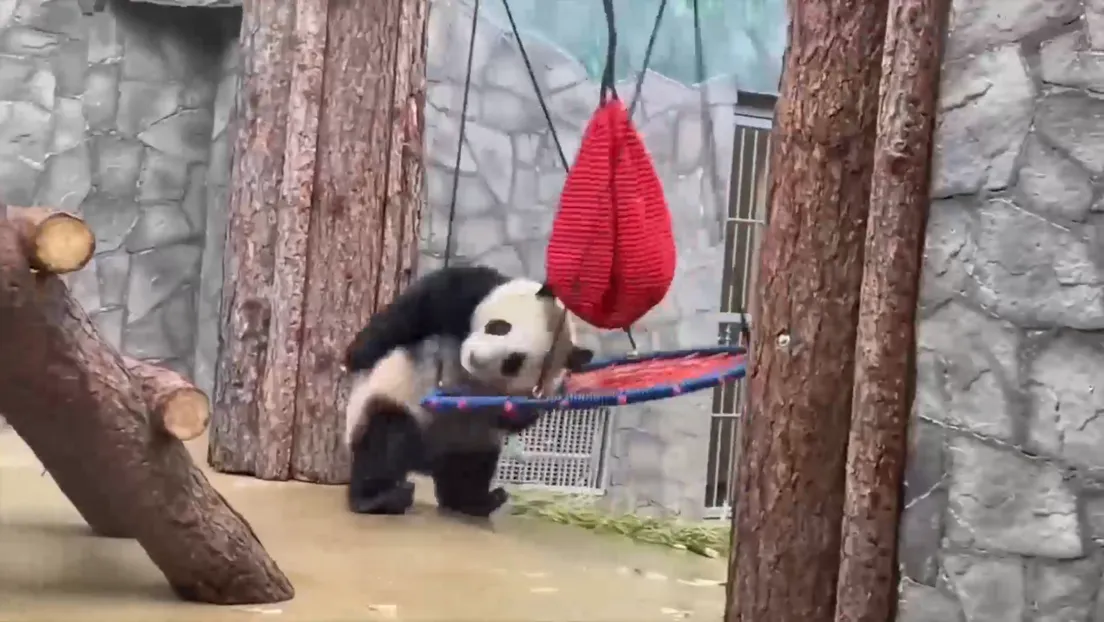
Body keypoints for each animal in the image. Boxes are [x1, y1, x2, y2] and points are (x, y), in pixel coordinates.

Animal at [343, 264, 594, 518]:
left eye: (513, 362)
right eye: (499, 327)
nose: (475, 357)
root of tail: (425, 462)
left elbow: (517, 418)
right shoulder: (471, 295)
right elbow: (419, 307)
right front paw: (357, 355)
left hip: (469, 440)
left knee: (470, 469)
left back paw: (477, 501)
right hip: (390, 404)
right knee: (386, 438)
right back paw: (377, 498)